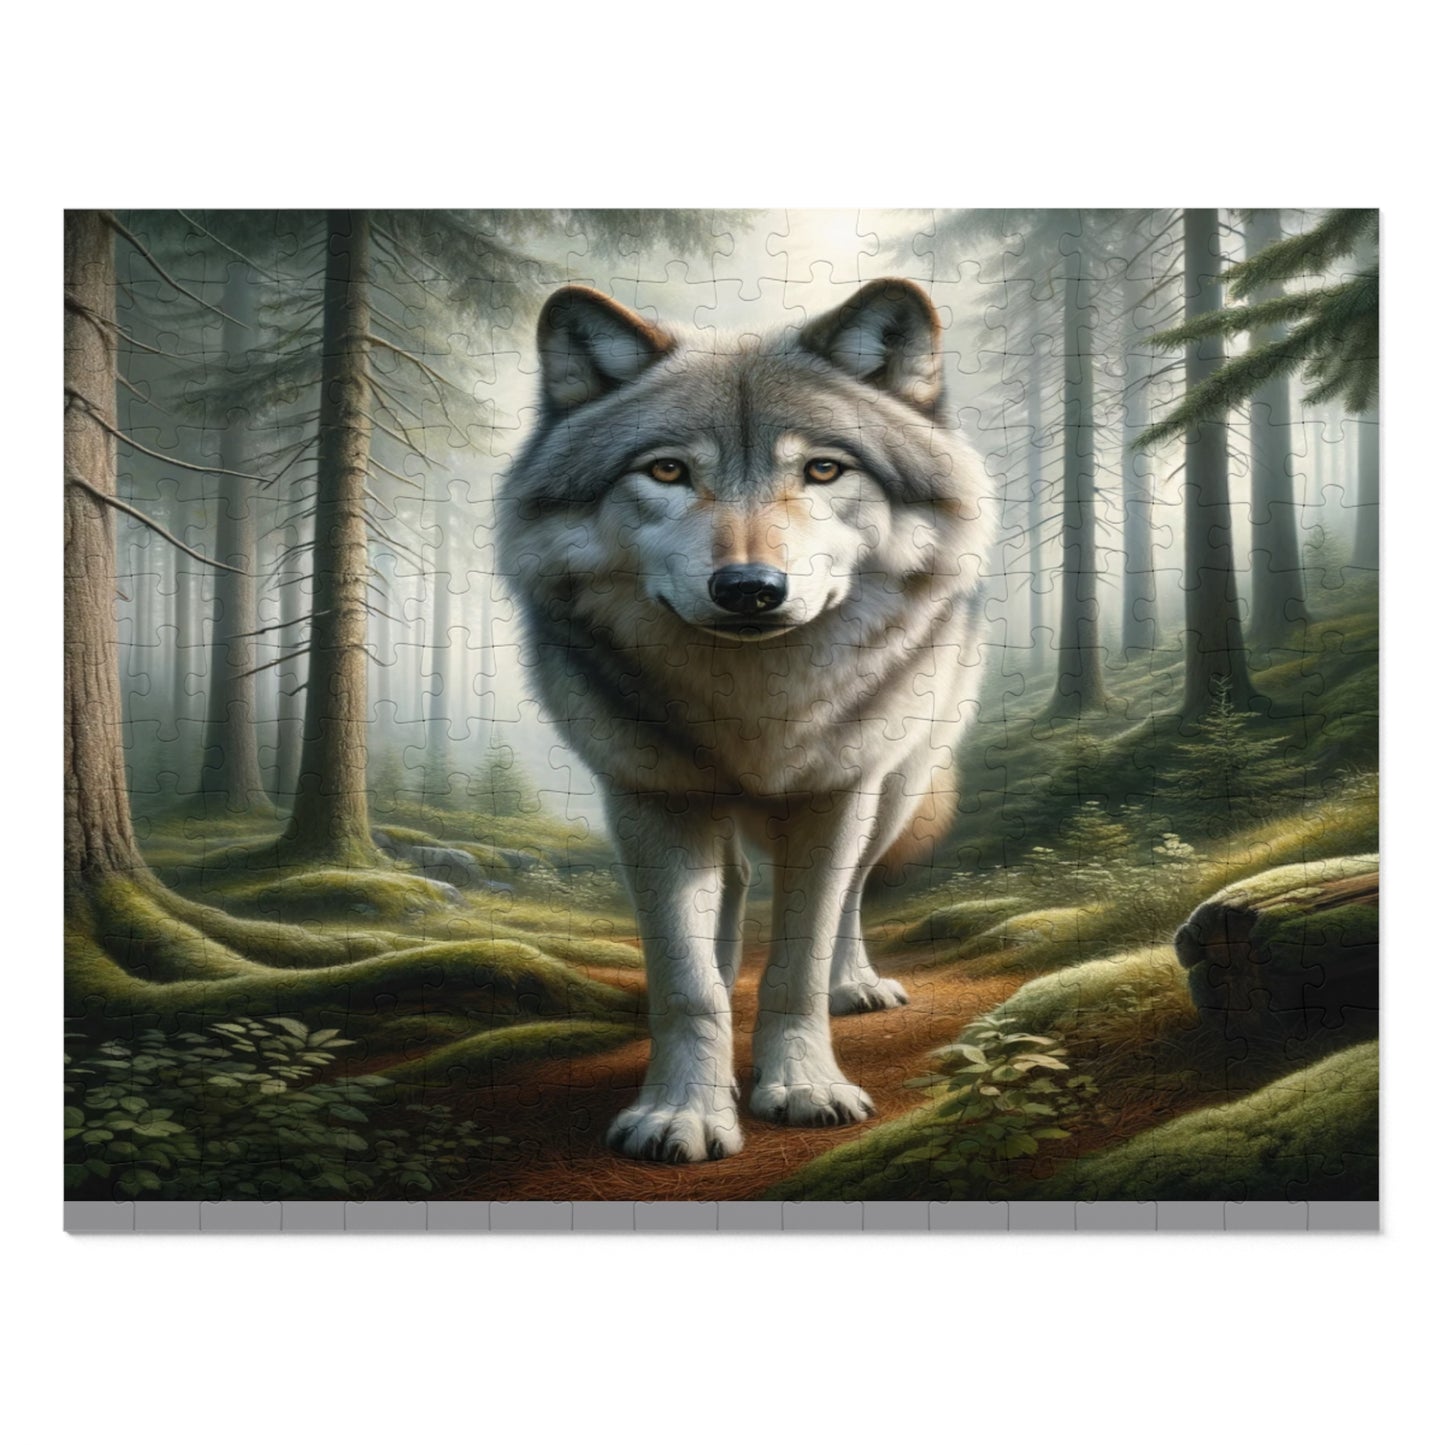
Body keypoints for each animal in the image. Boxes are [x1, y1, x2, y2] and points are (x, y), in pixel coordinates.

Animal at [499, 277, 993, 1162]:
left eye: (823, 468)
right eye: (666, 470)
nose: (750, 589)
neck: (751, 705)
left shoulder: (836, 793)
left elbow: (797, 963)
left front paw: (802, 1085)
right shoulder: (649, 797)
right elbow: (684, 981)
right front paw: (682, 1110)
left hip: (897, 781)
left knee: (853, 893)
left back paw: (853, 983)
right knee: (727, 889)